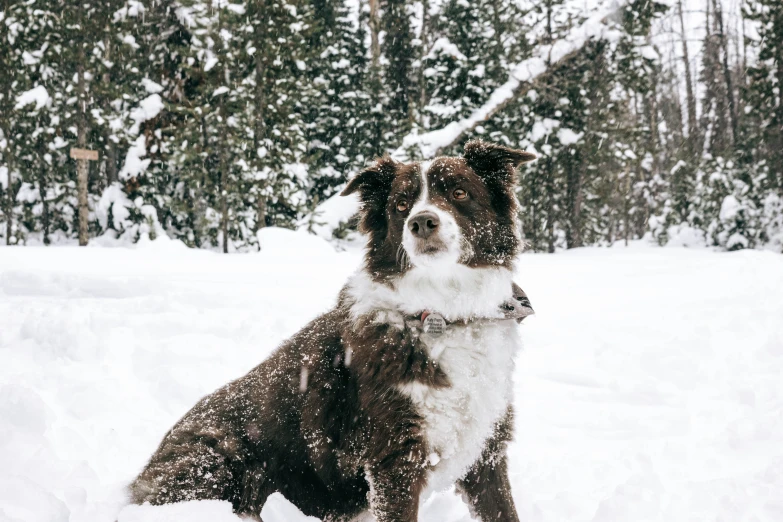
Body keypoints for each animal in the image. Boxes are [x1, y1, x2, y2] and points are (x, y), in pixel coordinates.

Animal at [132, 140, 536, 516]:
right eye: (400, 205)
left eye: (459, 192)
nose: (421, 222)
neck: (442, 313)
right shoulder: (395, 461)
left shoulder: (486, 453)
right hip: (221, 457)